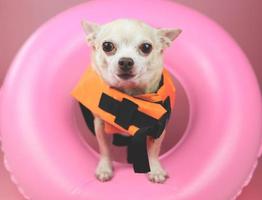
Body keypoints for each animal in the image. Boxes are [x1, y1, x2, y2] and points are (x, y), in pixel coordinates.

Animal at [81, 18, 181, 183]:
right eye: (107, 46)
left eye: (146, 47)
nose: (126, 61)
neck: (129, 94)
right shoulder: (100, 125)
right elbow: (104, 149)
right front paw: (105, 168)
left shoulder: (159, 128)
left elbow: (153, 151)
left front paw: (155, 170)